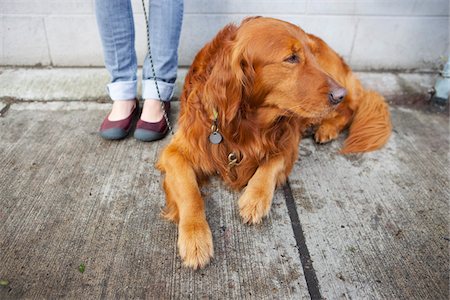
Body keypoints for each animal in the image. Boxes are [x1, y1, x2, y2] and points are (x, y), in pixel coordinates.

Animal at [156, 17, 392, 270]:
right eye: (291, 58)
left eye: (312, 55)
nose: (340, 93)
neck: (245, 123)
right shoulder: (176, 152)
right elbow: (190, 192)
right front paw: (195, 237)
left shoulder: (288, 143)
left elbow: (272, 163)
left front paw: (255, 198)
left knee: (349, 110)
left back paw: (326, 127)